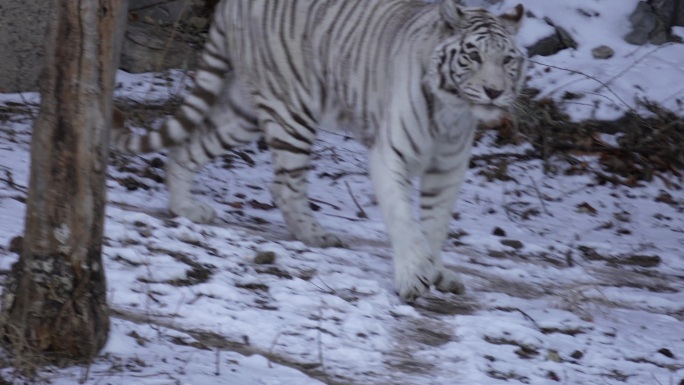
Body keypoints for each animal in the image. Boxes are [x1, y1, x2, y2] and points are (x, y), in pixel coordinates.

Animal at [115, 0, 528, 300]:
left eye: (507, 59)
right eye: (472, 55)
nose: (494, 91)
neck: (452, 111)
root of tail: (233, 3)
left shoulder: (447, 169)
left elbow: (436, 225)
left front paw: (437, 270)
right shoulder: (390, 155)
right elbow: (404, 220)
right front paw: (413, 277)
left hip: (244, 113)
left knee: (187, 147)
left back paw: (184, 207)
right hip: (291, 110)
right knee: (285, 186)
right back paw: (318, 236)